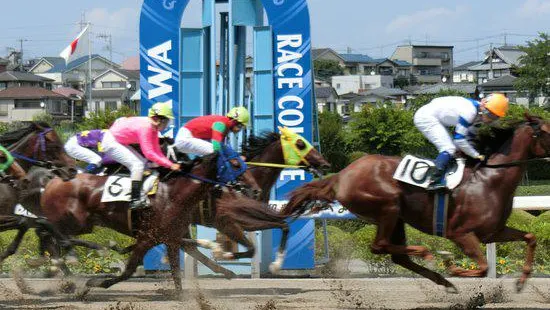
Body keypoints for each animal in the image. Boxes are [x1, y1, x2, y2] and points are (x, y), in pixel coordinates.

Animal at [284, 115, 550, 294]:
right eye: (547, 130)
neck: (489, 181)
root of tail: (342, 175)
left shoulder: (493, 232)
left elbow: (530, 237)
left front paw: (521, 281)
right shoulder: (460, 233)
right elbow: (483, 267)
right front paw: (452, 267)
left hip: (397, 218)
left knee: (396, 257)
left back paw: (443, 280)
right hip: (388, 207)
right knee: (380, 246)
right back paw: (430, 255)